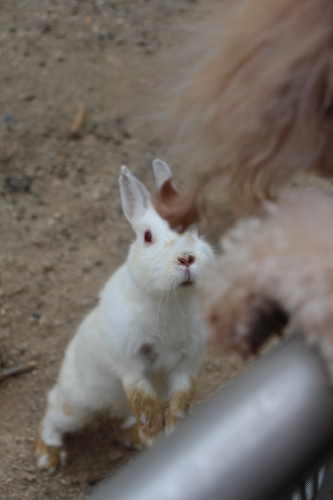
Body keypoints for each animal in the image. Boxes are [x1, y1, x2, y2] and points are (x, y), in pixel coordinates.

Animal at [35, 160, 213, 472]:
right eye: (148, 236)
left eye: (198, 228)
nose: (186, 258)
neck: (172, 300)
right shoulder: (131, 362)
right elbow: (146, 405)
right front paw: (154, 438)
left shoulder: (186, 364)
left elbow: (180, 402)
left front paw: (173, 433)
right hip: (78, 402)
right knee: (54, 411)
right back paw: (49, 454)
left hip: (113, 401)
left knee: (119, 415)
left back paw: (131, 436)